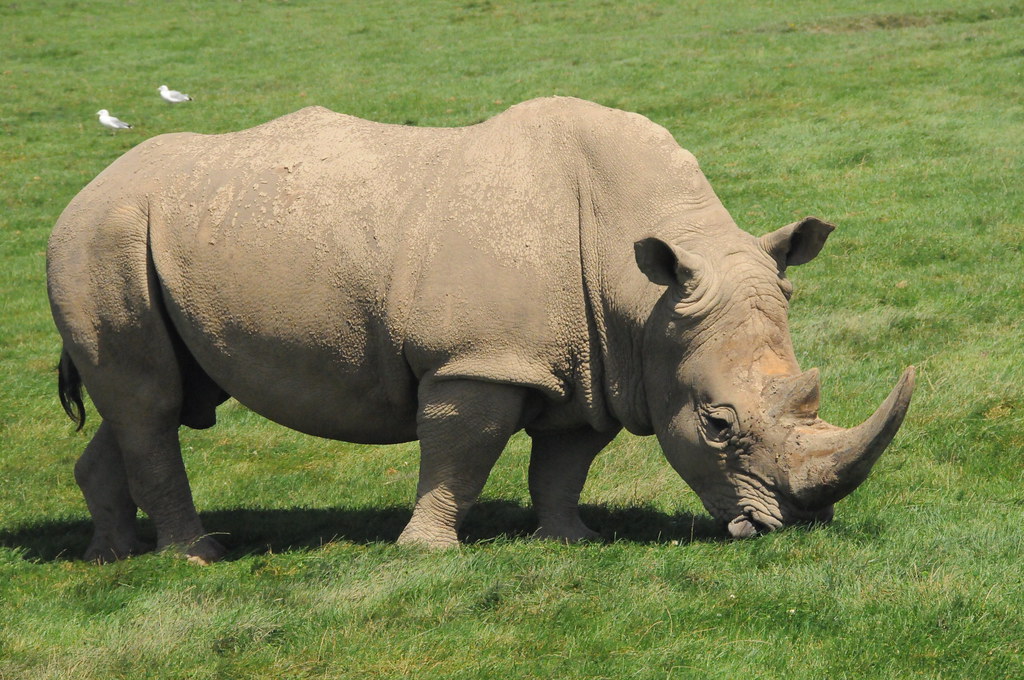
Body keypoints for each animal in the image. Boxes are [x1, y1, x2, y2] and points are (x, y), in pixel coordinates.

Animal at [47, 97, 914, 563]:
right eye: (717, 423)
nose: (796, 525)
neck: (643, 293)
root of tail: (85, 188)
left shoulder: (597, 364)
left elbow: (563, 462)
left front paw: (571, 540)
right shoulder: (482, 361)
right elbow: (460, 456)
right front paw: (429, 553)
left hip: (141, 236)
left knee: (154, 400)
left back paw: (112, 555)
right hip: (100, 236)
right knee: (151, 403)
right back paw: (198, 558)